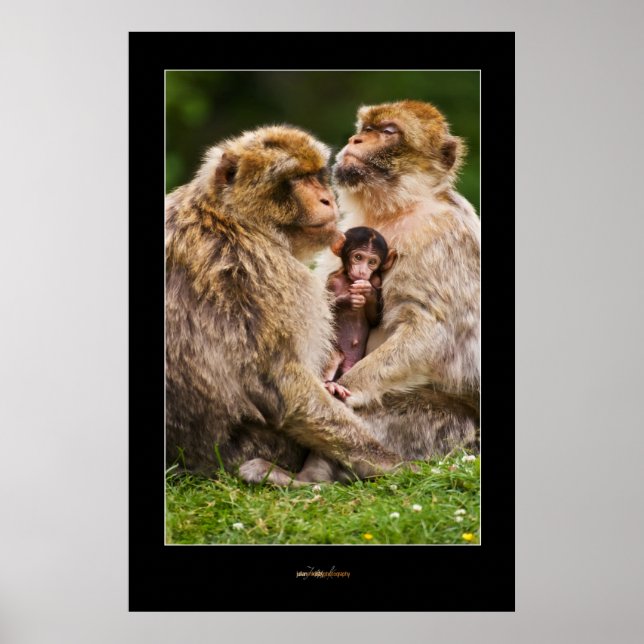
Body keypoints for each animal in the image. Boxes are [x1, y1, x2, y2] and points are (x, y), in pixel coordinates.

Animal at [322, 226, 397, 400]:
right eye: (358, 257)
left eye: (372, 262)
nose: (363, 271)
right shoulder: (332, 281)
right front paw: (348, 300)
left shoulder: (376, 280)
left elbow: (375, 320)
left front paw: (368, 292)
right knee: (335, 354)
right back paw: (329, 384)